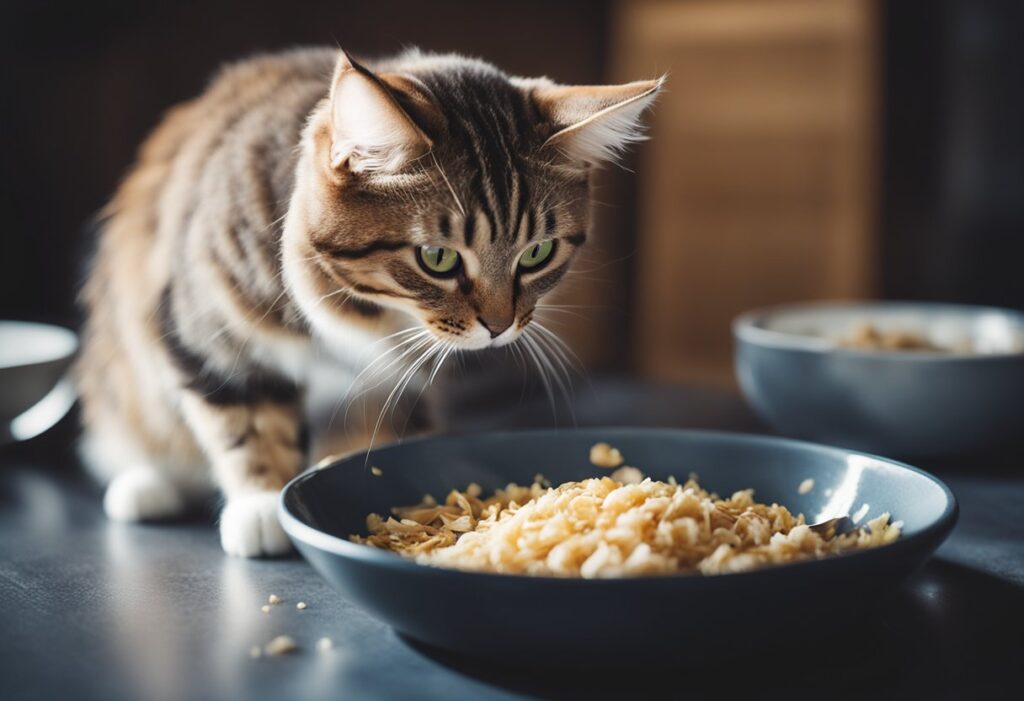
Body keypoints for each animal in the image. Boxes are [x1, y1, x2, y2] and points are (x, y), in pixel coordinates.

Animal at [74, 46, 663, 556]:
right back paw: (144, 486)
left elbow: (376, 430)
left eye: (538, 252)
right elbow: (245, 419)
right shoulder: (206, 328)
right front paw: (263, 506)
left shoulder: (394, 379)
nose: (500, 327)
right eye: (438, 258)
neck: (360, 312)